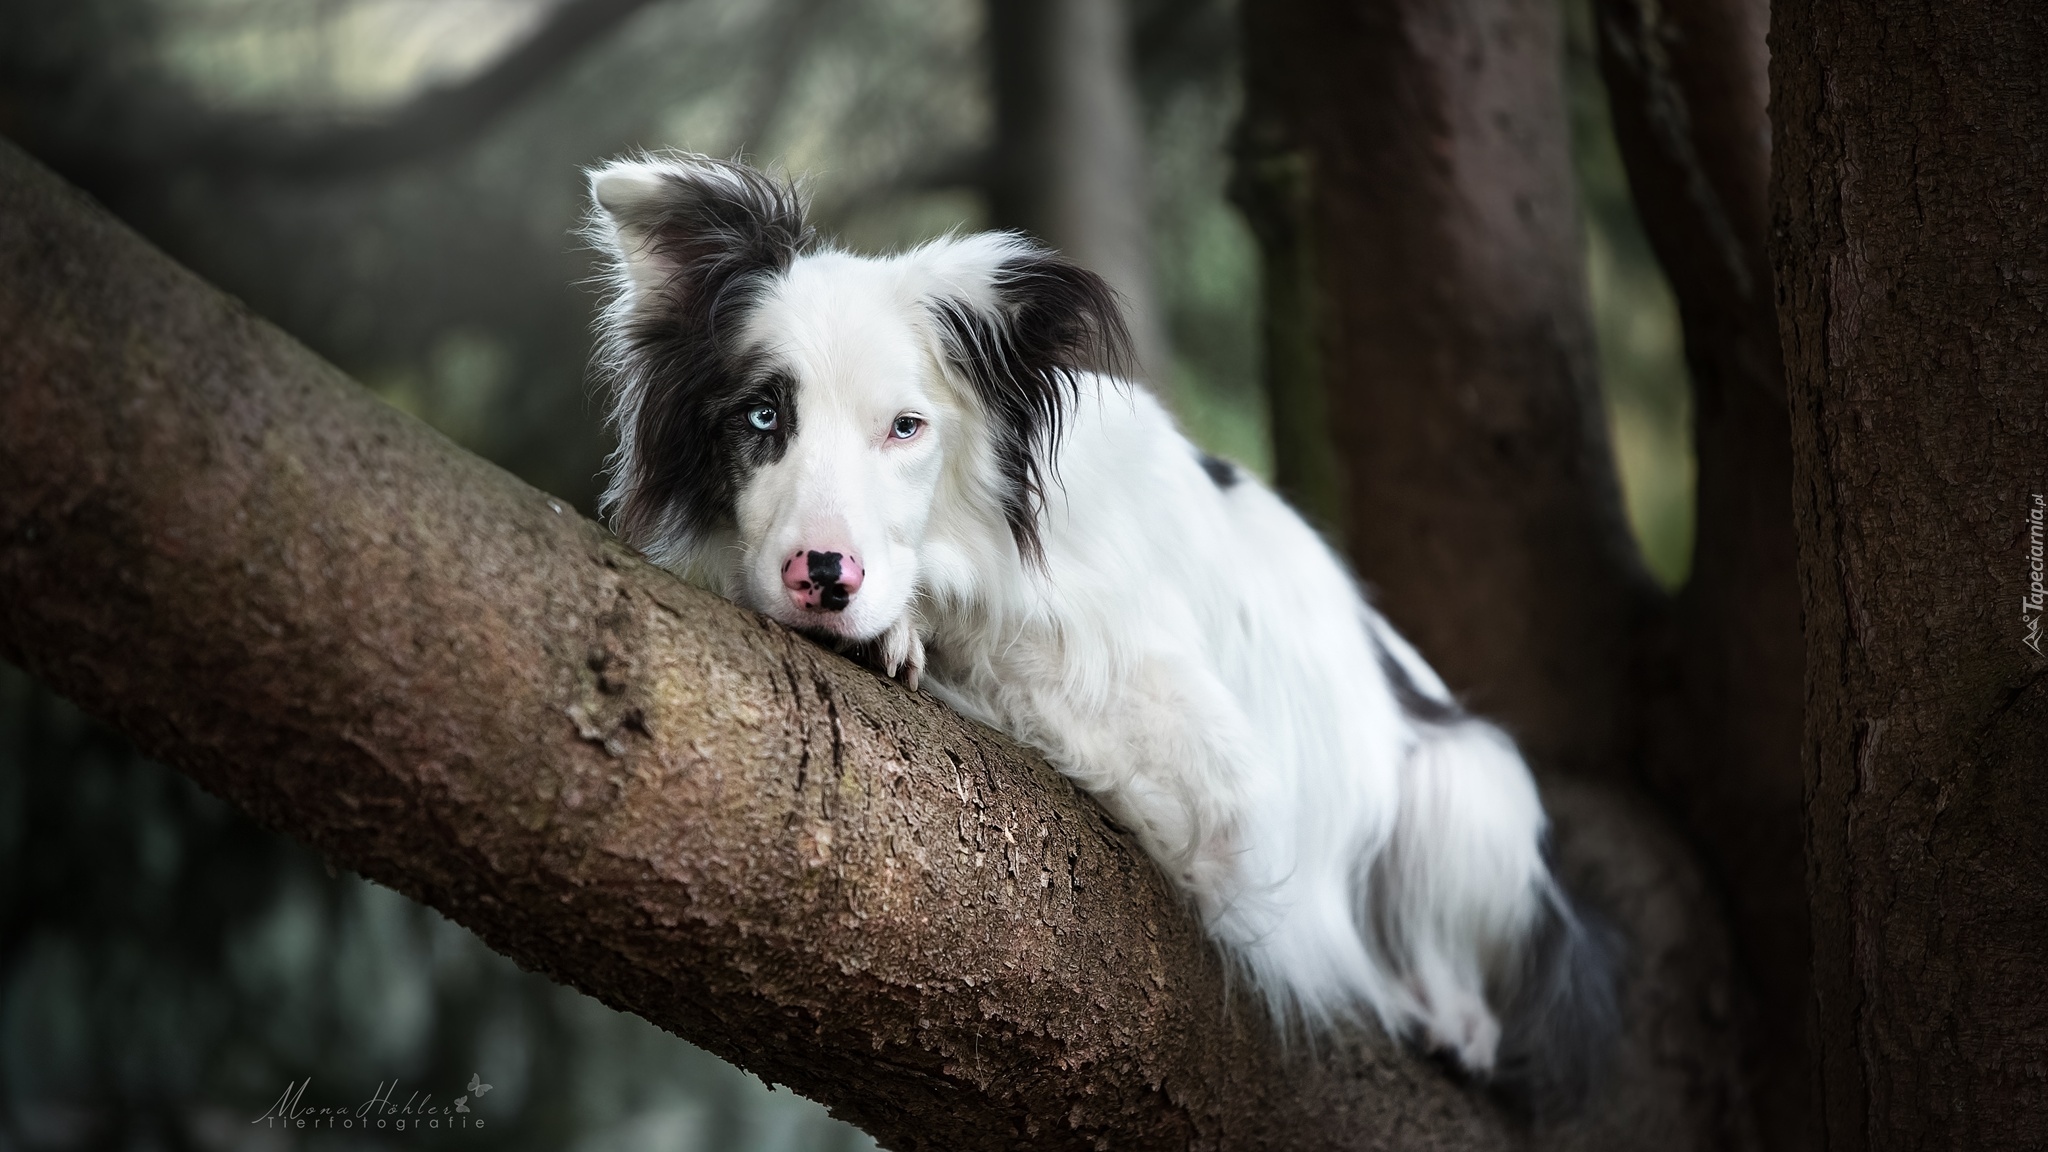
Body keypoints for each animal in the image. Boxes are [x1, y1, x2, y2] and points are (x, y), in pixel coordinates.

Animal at [585, 152, 1622, 1106]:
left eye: (906, 428)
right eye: (763, 416)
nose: (824, 578)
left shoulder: (1201, 772)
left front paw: (900, 635)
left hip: (1466, 785)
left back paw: (1451, 1020)